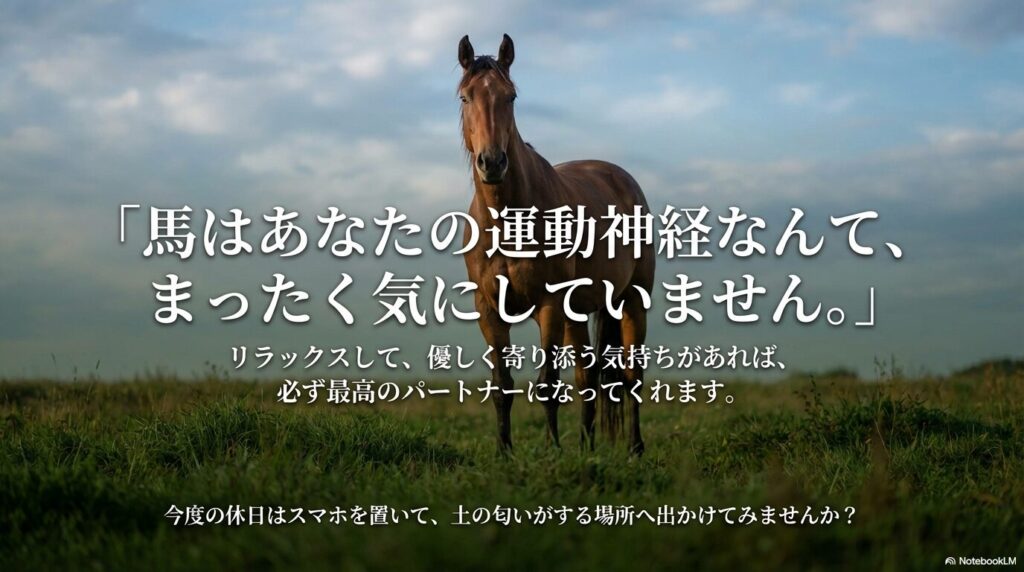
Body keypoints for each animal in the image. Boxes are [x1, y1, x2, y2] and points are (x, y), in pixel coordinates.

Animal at [458, 34, 655, 455]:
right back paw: (587, 448)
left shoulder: (549, 304)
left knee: (631, 376)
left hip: (631, 300)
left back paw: (634, 448)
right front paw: (505, 451)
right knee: (588, 378)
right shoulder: (489, 309)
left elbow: (548, 383)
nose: (492, 163)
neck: (510, 220)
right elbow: (502, 386)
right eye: (466, 97)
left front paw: (552, 450)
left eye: (511, 96)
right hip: (577, 313)